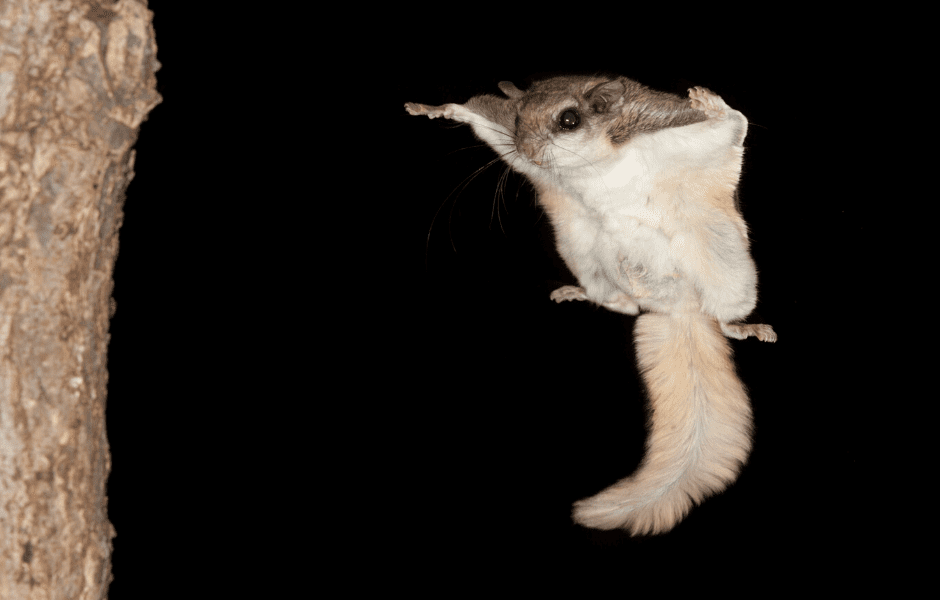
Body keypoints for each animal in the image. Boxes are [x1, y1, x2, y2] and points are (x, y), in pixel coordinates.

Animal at [405, 75, 775, 535]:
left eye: (569, 119)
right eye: (519, 116)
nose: (527, 152)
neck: (592, 163)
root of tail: (678, 311)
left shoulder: (671, 128)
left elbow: (732, 125)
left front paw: (712, 102)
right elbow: (479, 114)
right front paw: (435, 108)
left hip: (724, 263)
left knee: (722, 313)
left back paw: (740, 326)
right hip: (584, 251)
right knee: (622, 306)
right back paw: (584, 294)